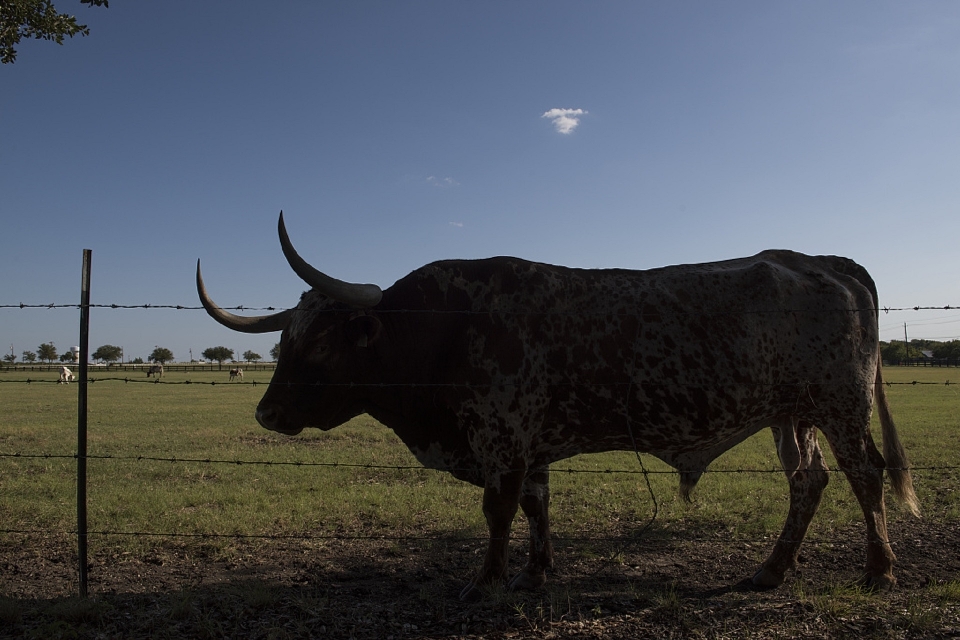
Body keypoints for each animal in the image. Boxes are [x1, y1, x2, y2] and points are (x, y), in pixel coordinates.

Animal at [193, 211, 916, 600]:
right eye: (284, 337)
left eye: (319, 340)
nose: (266, 414)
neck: (441, 328)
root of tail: (821, 259)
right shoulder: (530, 445)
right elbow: (537, 508)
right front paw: (535, 576)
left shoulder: (502, 437)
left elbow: (497, 511)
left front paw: (484, 582)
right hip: (791, 415)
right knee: (808, 481)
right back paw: (771, 570)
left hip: (840, 406)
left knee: (865, 476)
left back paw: (879, 572)